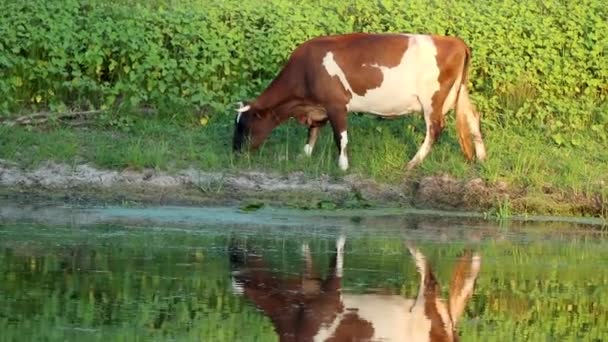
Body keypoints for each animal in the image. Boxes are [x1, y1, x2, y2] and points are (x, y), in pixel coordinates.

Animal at [230, 33, 486, 170]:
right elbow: (313, 132)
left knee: (434, 129)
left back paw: (412, 163)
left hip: (432, 99)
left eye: (245, 125)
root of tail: (455, 41)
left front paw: (343, 165)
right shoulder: (319, 107)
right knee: (472, 117)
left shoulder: (336, 104)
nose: (235, 151)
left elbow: (340, 136)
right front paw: (305, 155)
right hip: (460, 92)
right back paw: (482, 158)